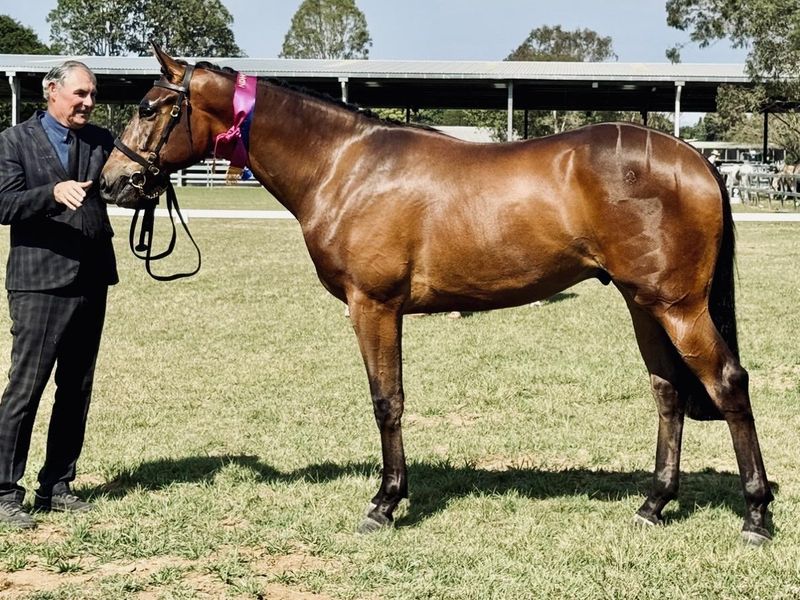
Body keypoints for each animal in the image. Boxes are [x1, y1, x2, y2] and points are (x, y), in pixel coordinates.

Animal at [99, 46, 773, 544]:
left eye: (151, 107)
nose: (112, 181)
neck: (345, 166)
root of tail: (696, 159)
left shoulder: (373, 306)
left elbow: (386, 401)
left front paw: (385, 502)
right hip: (643, 304)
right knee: (669, 393)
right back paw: (654, 504)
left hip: (677, 307)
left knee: (727, 385)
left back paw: (757, 515)